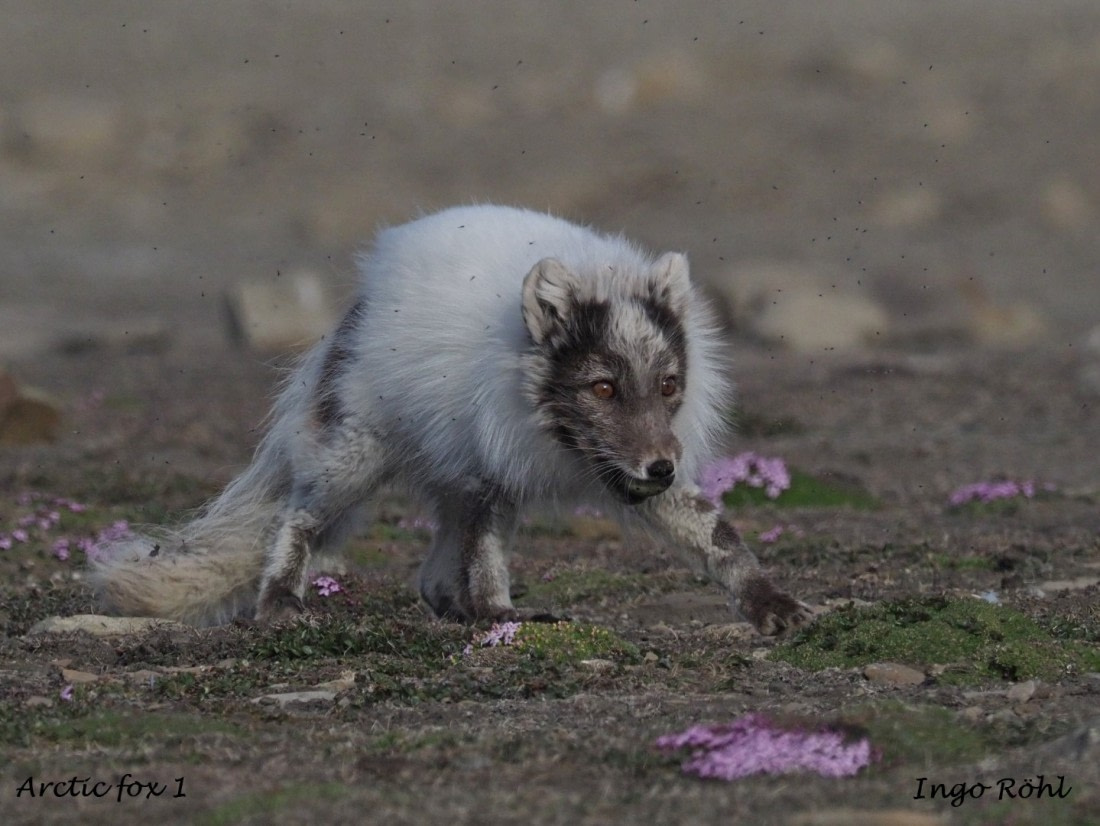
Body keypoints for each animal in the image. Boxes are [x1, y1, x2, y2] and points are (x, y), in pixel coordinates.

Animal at [91, 205, 812, 635]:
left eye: (668, 385)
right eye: (603, 387)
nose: (661, 468)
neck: (555, 433)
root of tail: (359, 305)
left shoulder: (616, 469)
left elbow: (717, 536)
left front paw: (773, 606)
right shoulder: (491, 459)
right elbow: (486, 556)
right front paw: (496, 613)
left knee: (432, 574)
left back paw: (450, 606)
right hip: (355, 458)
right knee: (299, 517)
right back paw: (280, 602)